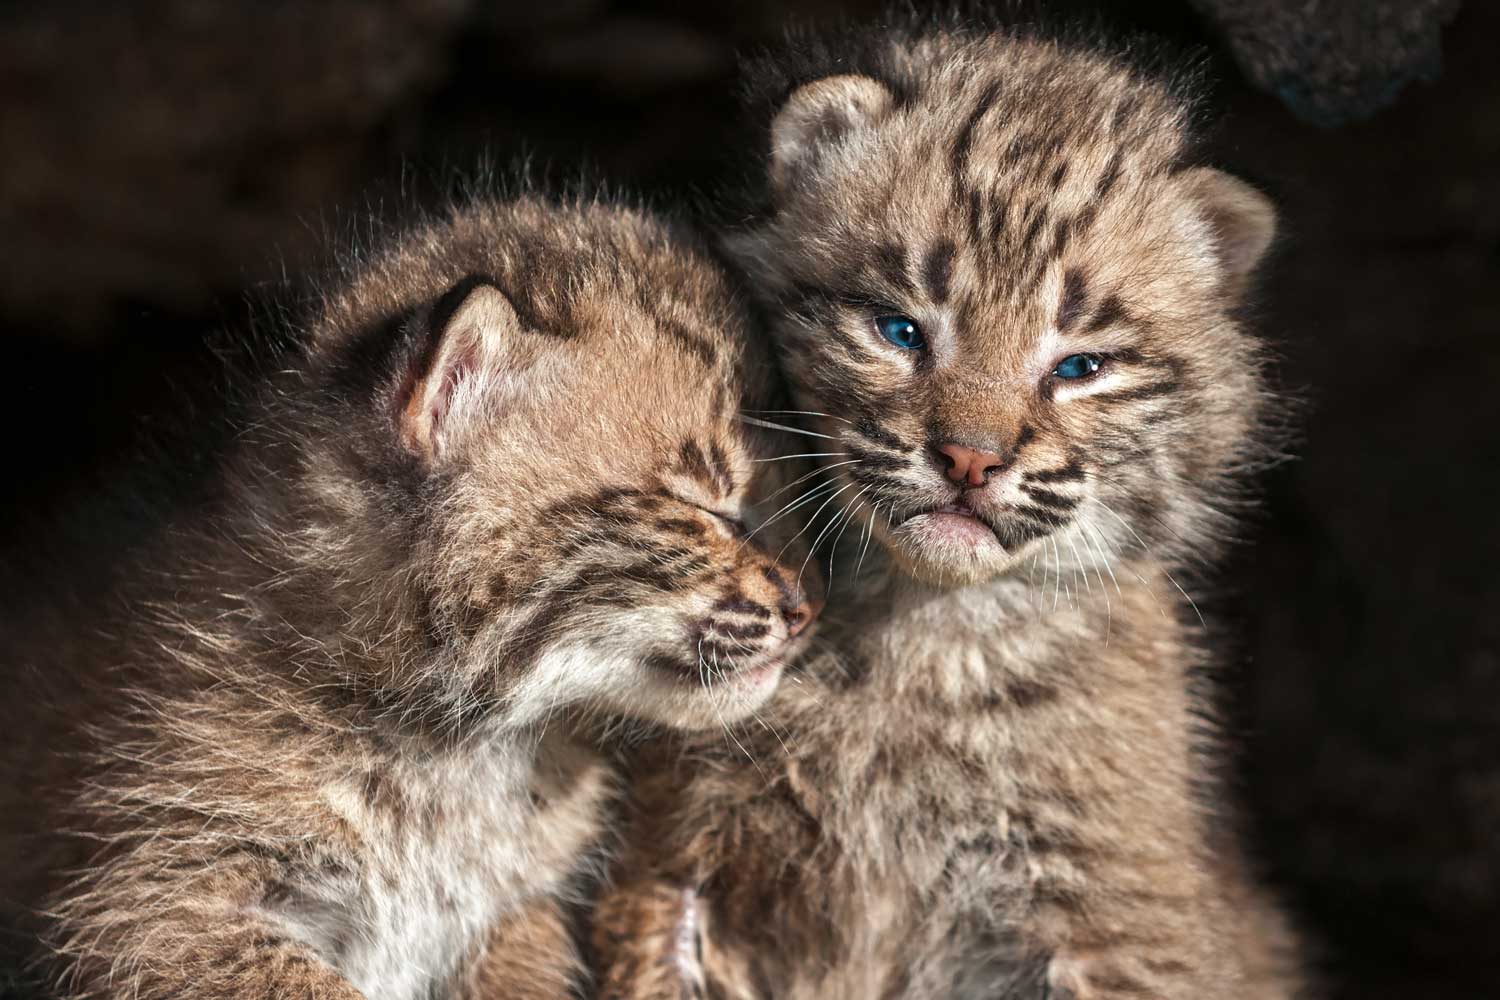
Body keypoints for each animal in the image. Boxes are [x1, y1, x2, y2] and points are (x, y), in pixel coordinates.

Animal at [591, 15, 1308, 1000]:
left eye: (1080, 367)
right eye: (899, 329)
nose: (971, 459)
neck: (920, 634)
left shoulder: (1111, 909)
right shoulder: (670, 852)